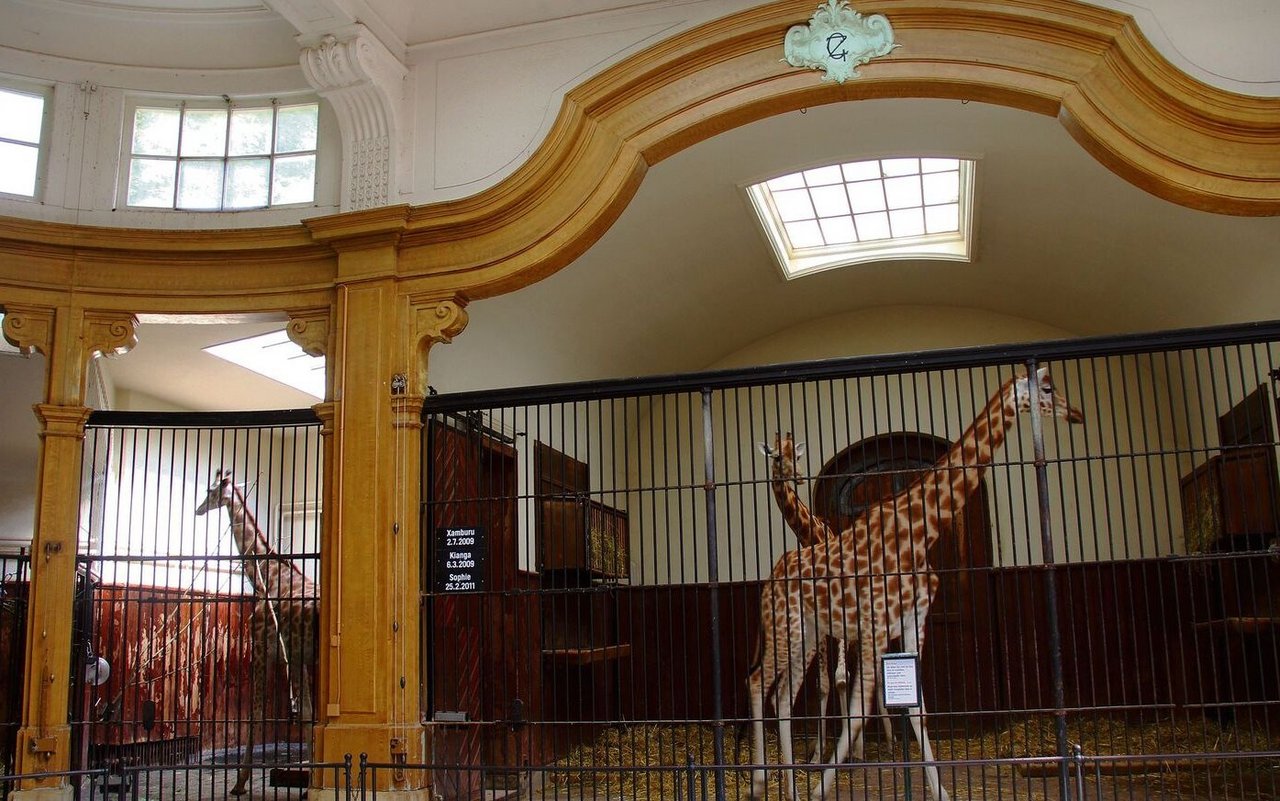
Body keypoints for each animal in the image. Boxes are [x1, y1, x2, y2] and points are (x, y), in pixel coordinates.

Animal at [198, 468, 325, 793]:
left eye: (211, 492)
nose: (199, 509)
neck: (268, 578)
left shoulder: (261, 650)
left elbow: (255, 716)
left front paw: (240, 782)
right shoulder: (296, 656)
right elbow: (307, 714)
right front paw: (310, 776)